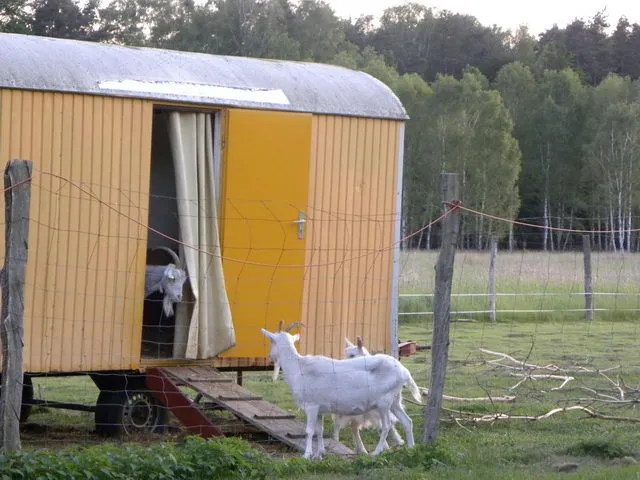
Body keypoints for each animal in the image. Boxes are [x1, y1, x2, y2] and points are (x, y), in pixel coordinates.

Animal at [260, 328, 420, 460]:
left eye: (271, 341)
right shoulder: (320, 410)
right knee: (407, 421)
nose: (270, 356)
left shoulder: (312, 406)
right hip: (395, 401)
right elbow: (319, 431)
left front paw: (307, 455)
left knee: (387, 425)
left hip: (384, 402)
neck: (300, 368)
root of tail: (404, 371)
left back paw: (377, 452)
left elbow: (309, 431)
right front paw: (319, 454)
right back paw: (411, 448)